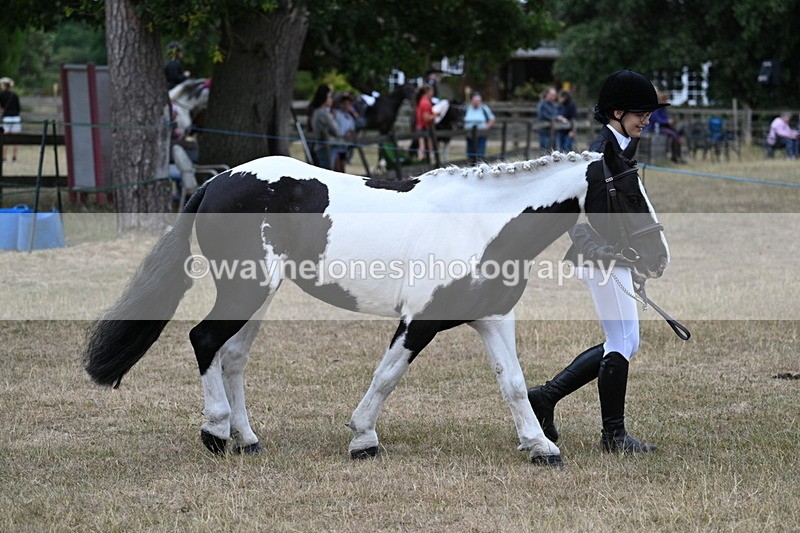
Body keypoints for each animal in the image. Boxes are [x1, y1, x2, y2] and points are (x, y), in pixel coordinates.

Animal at [82, 141, 669, 466]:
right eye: (623, 192)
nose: (657, 258)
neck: (481, 225)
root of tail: (216, 182)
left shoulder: (493, 317)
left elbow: (513, 383)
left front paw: (540, 447)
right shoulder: (421, 322)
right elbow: (387, 376)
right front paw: (363, 439)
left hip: (256, 292)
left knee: (233, 356)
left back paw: (246, 439)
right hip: (245, 290)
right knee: (203, 339)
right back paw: (215, 433)